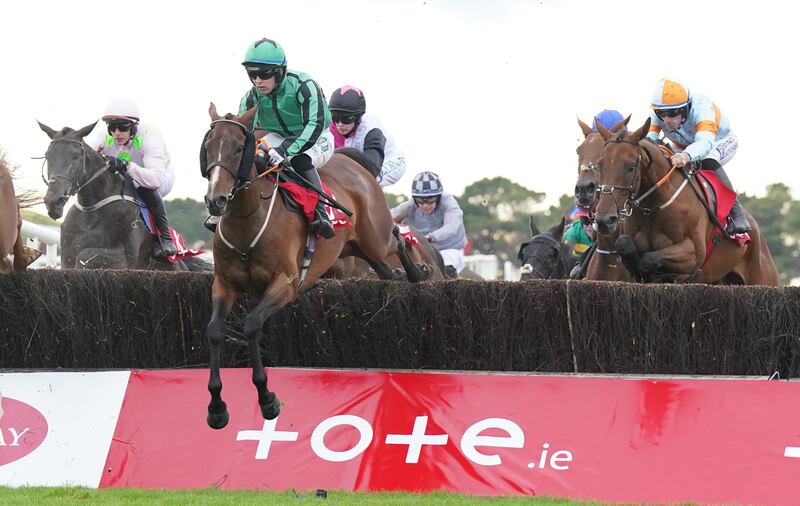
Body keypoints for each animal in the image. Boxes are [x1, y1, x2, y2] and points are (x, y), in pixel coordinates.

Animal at [38, 122, 206, 270]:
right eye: (47, 155)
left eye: (76, 156)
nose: (54, 201)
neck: (92, 209)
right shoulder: (67, 252)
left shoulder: (124, 257)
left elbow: (84, 256)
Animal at [200, 105, 424, 428]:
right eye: (208, 146)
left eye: (239, 148)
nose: (215, 200)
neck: (248, 219)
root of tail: (353, 164)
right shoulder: (224, 284)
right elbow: (215, 331)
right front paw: (216, 406)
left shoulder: (286, 284)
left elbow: (252, 326)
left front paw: (267, 399)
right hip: (352, 247)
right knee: (381, 264)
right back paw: (394, 273)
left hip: (375, 238)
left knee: (395, 235)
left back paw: (417, 272)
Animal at [592, 116, 780, 286]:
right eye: (599, 165)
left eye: (630, 167)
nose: (604, 220)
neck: (653, 208)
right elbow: (624, 245)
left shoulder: (694, 253)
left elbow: (649, 259)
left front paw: (658, 274)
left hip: (763, 278)